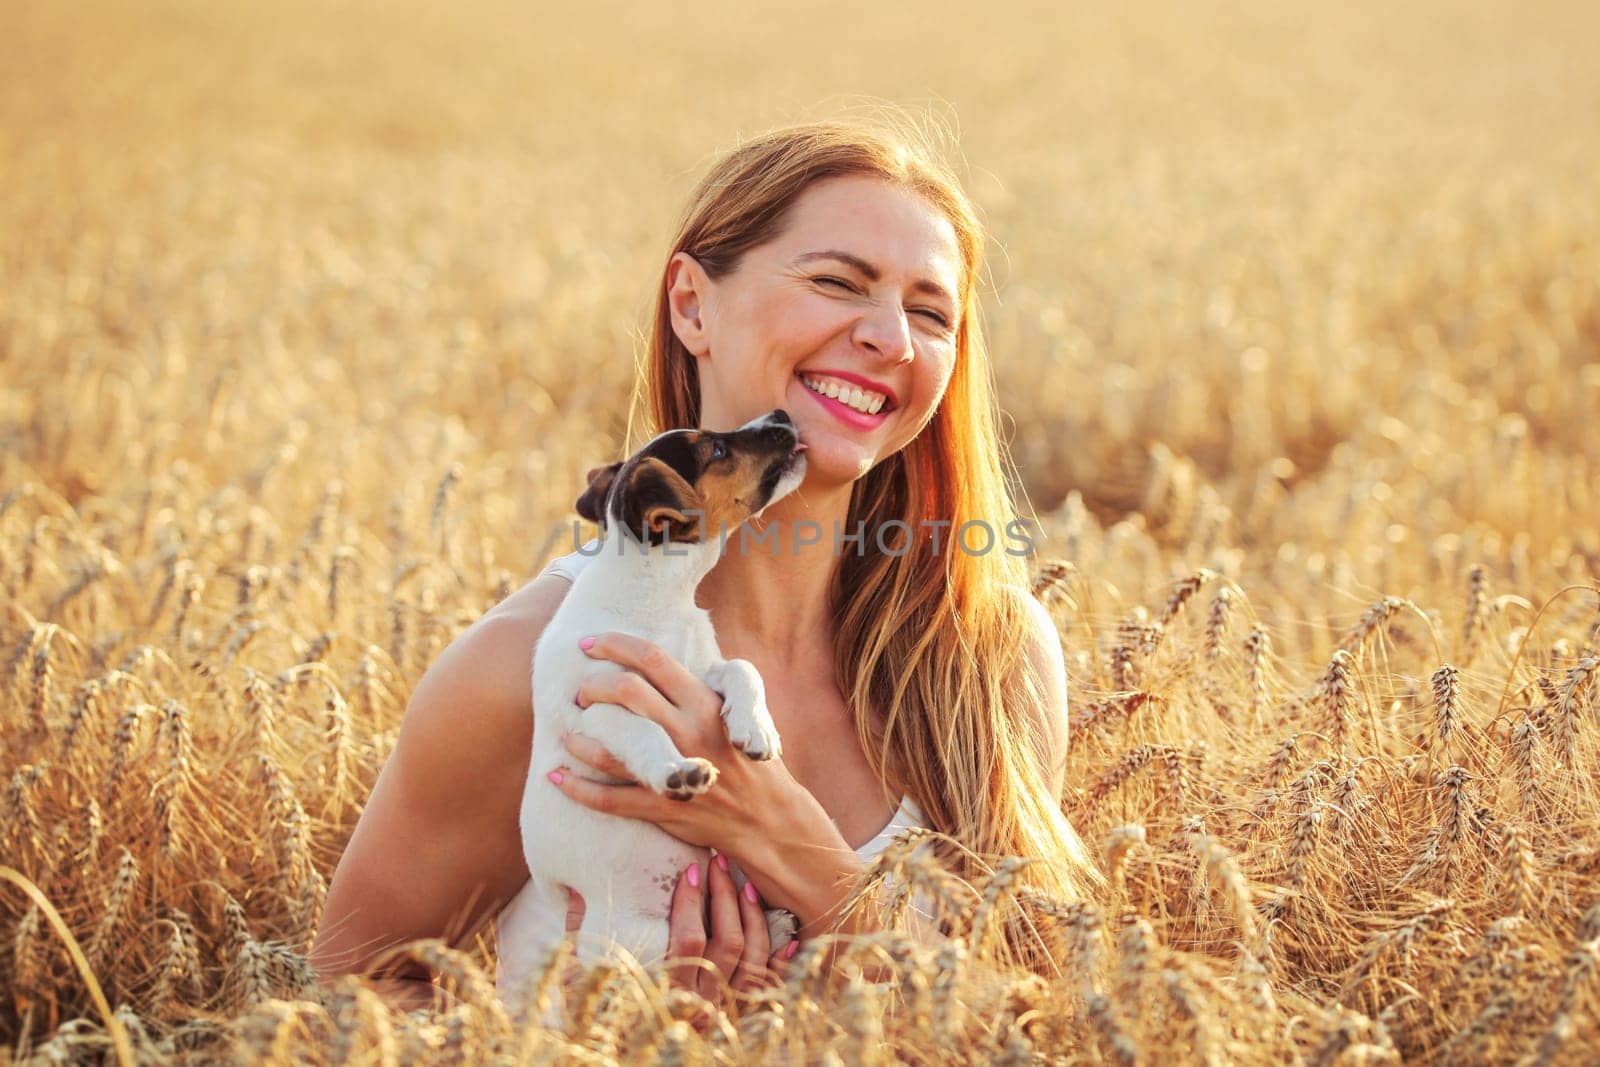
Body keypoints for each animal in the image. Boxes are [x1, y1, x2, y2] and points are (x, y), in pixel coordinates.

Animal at [512, 406, 806, 966]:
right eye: (717, 450)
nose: (781, 413)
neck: (655, 600)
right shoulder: (594, 708)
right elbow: (642, 731)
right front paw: (677, 770)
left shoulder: (702, 671)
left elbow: (743, 668)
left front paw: (758, 729)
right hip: (635, 939)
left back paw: (778, 930)